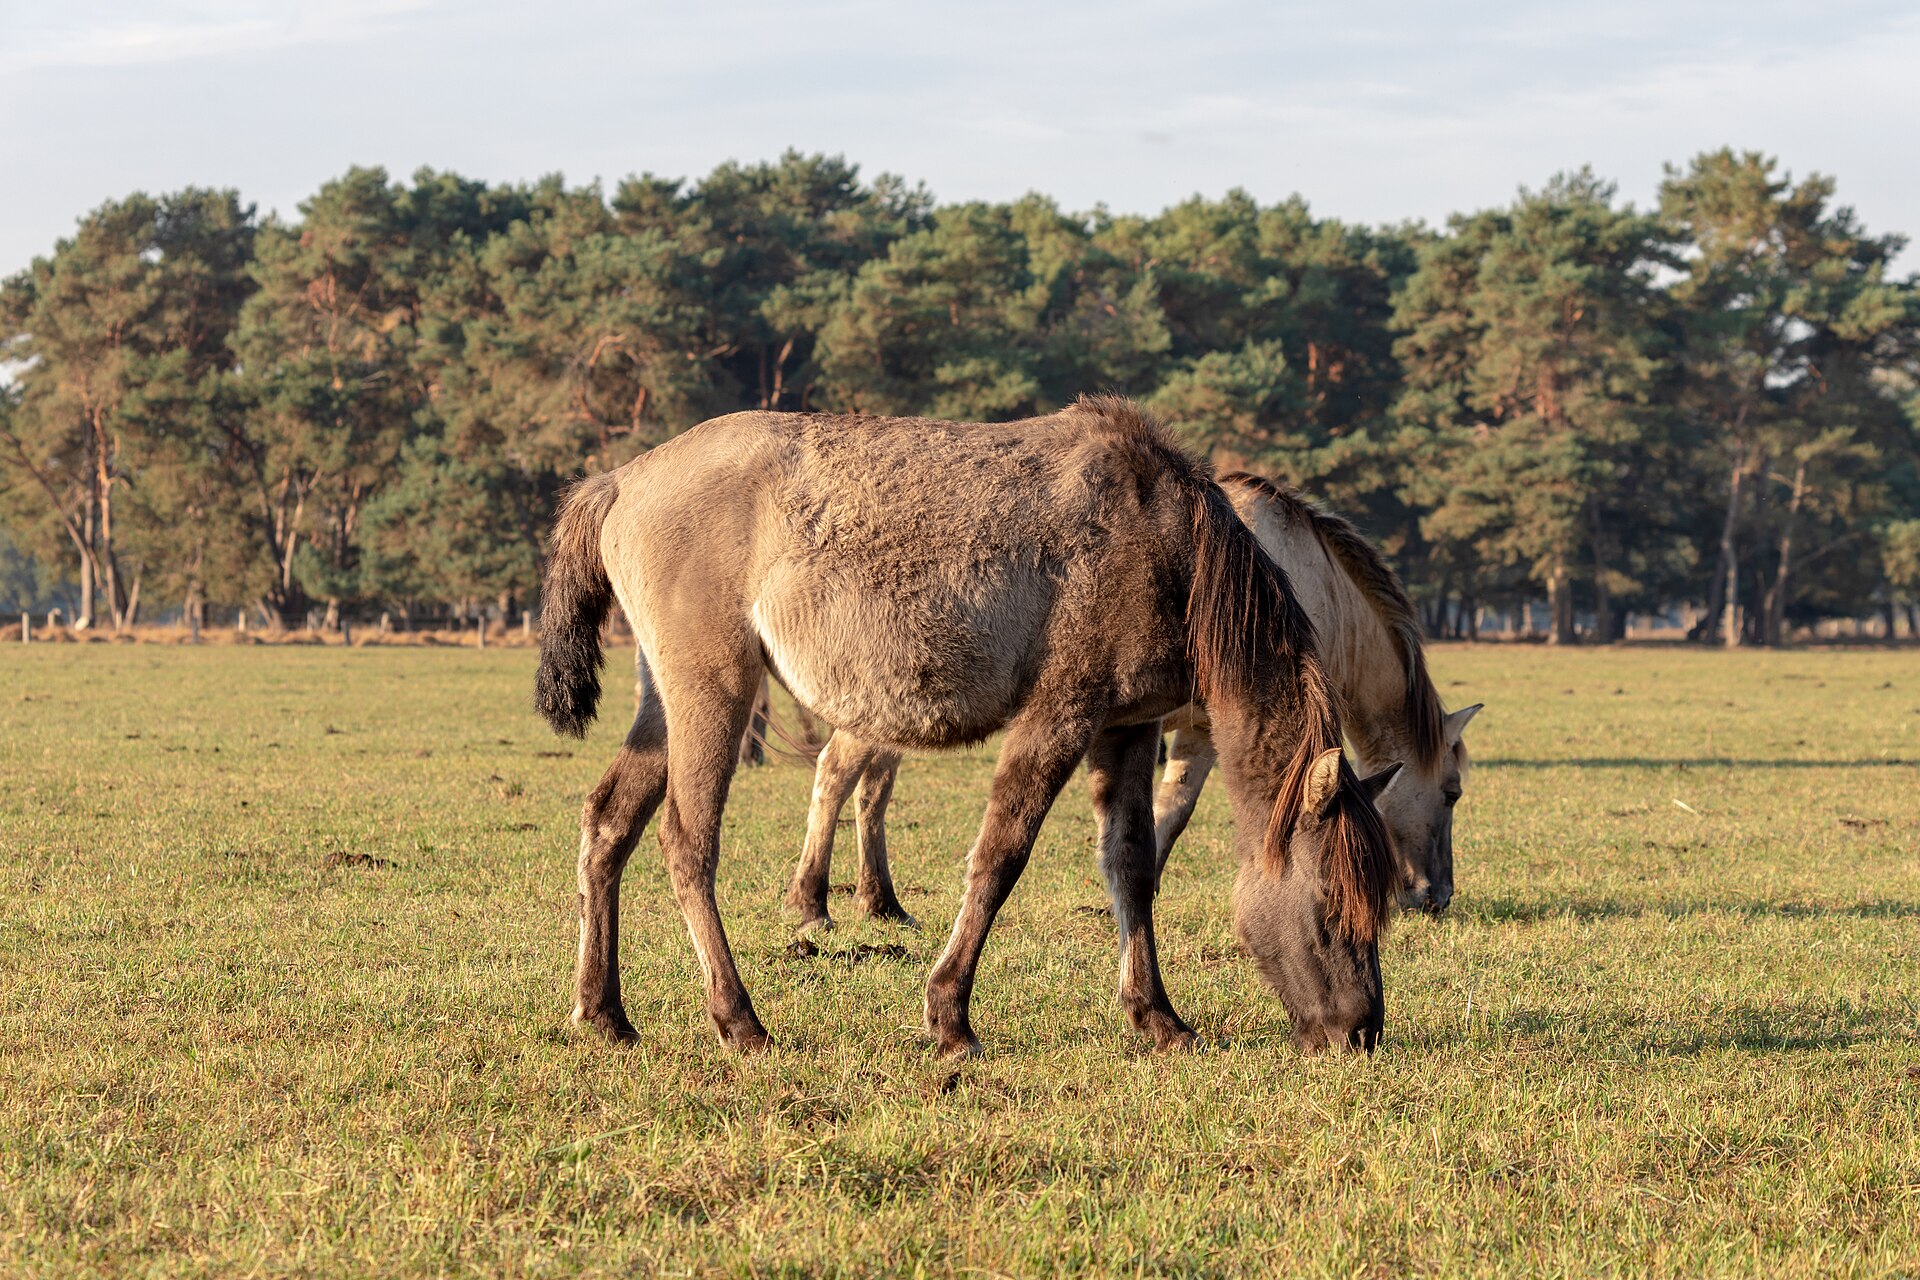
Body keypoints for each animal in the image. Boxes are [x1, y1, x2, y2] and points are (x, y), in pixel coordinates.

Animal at [535, 396, 1400, 1057]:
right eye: (1332, 907)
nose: (1360, 1032)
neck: (1166, 541)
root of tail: (621, 478)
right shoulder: (1059, 716)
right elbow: (999, 858)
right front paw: (949, 1015)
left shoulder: (1126, 728)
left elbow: (1132, 867)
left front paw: (1157, 1017)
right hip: (713, 694)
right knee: (688, 844)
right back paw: (739, 1020)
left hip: (665, 707)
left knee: (608, 825)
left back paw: (604, 1013)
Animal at [786, 472, 1481, 935]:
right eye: (1452, 793)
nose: (1437, 896)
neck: (1309, 587)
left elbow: (1167, 810)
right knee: (836, 774)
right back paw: (813, 904)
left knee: (871, 790)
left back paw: (881, 902)